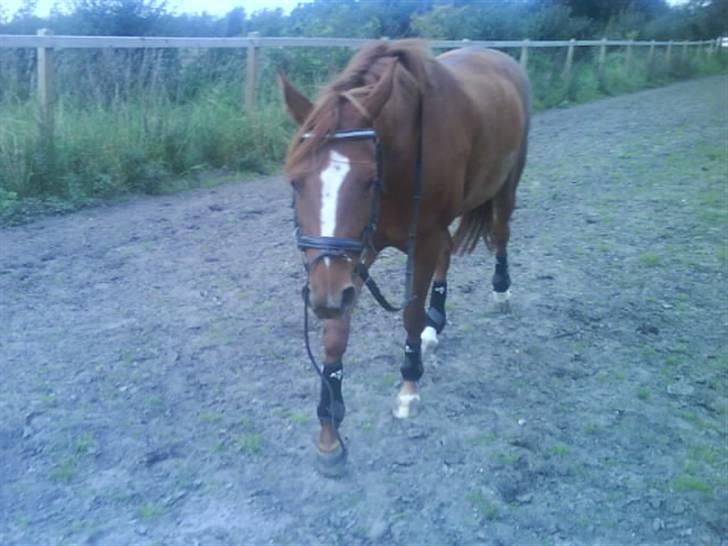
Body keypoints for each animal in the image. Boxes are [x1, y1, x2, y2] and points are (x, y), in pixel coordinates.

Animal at [279, 39, 530, 476]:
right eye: (296, 181)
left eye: (368, 180)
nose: (324, 297)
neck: (402, 155)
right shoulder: (356, 253)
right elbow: (335, 336)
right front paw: (329, 430)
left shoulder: (418, 239)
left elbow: (410, 314)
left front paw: (409, 387)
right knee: (448, 254)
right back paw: (436, 324)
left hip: (506, 185)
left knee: (500, 233)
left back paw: (501, 292)